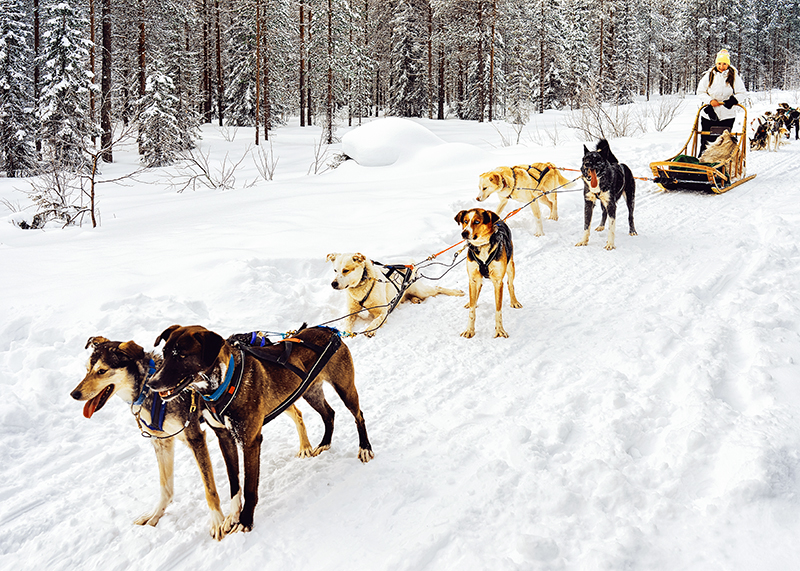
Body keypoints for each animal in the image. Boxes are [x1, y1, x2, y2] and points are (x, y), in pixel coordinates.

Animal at [70, 338, 238, 540]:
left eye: (101, 371)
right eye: (87, 369)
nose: (74, 394)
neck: (148, 390)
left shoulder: (195, 438)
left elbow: (209, 488)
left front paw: (217, 521)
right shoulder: (162, 442)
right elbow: (165, 487)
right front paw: (156, 514)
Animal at [146, 326, 376, 536]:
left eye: (181, 355)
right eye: (164, 353)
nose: (151, 383)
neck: (224, 383)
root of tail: (329, 330)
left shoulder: (250, 441)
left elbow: (249, 486)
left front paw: (246, 520)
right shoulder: (225, 439)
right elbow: (234, 483)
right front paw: (232, 516)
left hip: (345, 388)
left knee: (359, 415)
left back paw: (365, 448)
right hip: (311, 392)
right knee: (329, 414)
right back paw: (325, 443)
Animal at [324, 252, 462, 338]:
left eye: (345, 270)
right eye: (335, 270)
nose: (333, 284)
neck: (361, 286)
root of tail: (410, 266)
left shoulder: (383, 311)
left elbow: (376, 320)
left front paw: (369, 329)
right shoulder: (351, 311)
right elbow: (347, 320)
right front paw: (347, 332)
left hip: (421, 291)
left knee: (437, 288)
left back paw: (456, 292)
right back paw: (415, 300)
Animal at [454, 208, 520, 338]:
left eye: (477, 221)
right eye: (465, 221)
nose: (464, 233)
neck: (482, 246)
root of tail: (500, 220)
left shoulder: (498, 282)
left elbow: (498, 310)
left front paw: (499, 330)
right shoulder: (473, 279)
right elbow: (472, 310)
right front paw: (469, 330)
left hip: (510, 266)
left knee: (510, 284)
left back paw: (514, 301)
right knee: (477, 291)